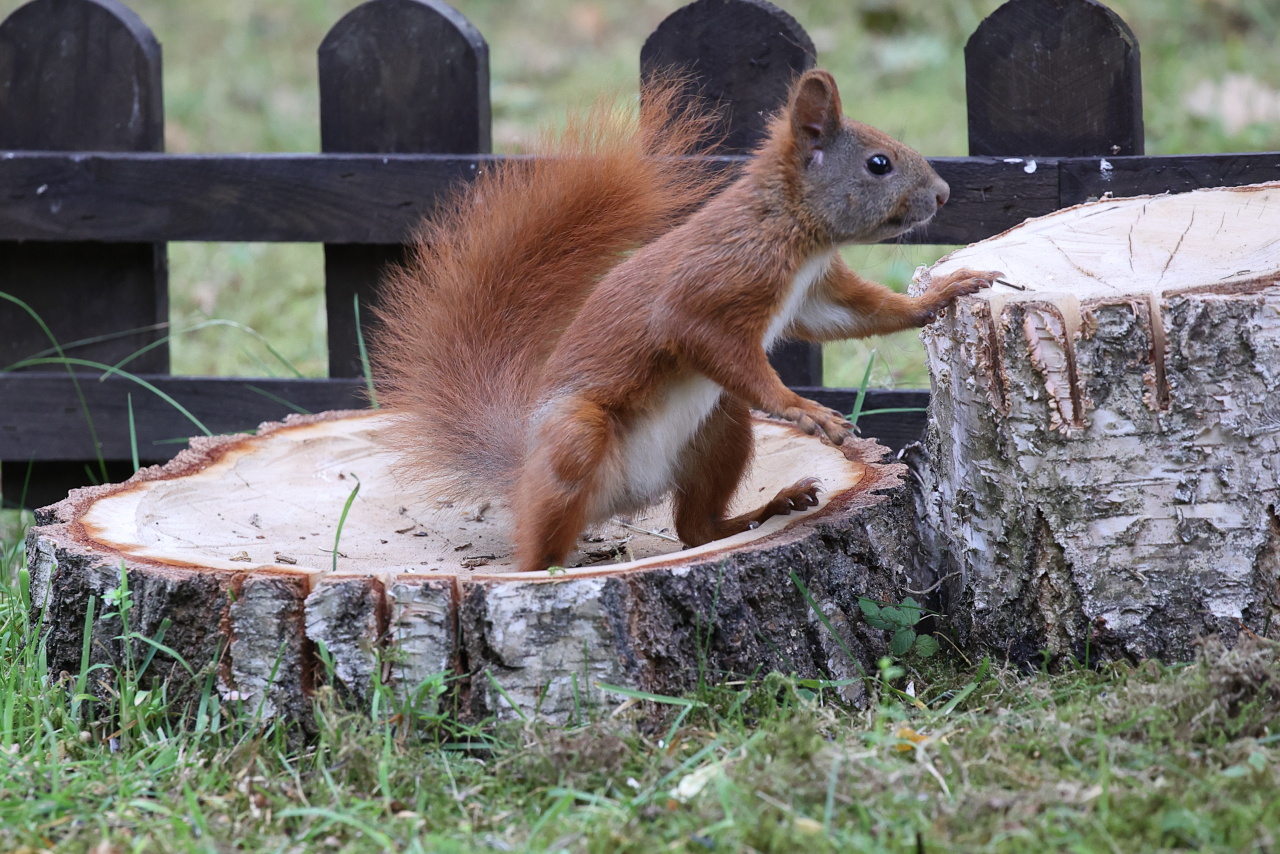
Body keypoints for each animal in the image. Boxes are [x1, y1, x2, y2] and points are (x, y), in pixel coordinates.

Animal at [373, 68, 998, 573]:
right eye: (878, 164)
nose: (944, 194)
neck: (790, 228)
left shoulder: (815, 295)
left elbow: (857, 315)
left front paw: (943, 293)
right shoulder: (705, 293)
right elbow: (706, 339)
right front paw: (804, 409)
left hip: (721, 426)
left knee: (694, 529)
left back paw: (770, 506)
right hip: (575, 438)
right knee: (540, 540)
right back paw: (543, 569)